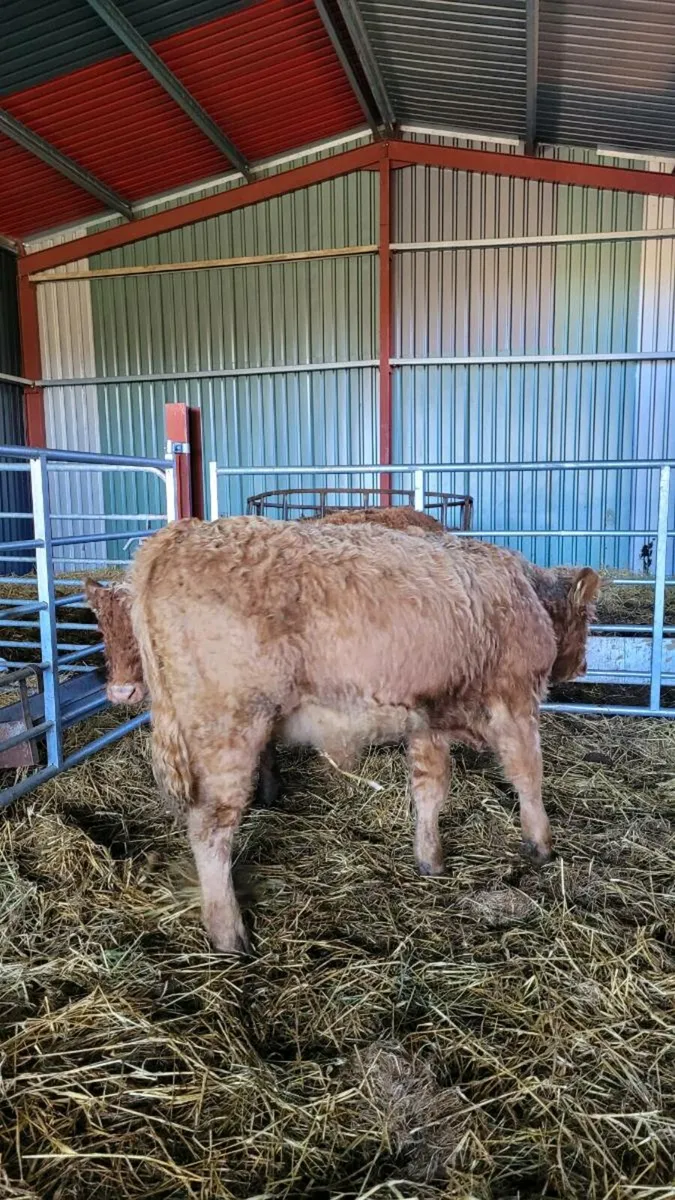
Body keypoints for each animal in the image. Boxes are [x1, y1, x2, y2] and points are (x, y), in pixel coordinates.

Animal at [101, 517, 598, 953]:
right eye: (587, 618)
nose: (581, 665)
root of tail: (179, 535)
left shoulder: (427, 720)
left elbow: (430, 789)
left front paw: (430, 858)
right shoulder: (515, 702)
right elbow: (527, 775)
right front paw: (541, 844)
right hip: (228, 729)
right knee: (210, 827)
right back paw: (229, 934)